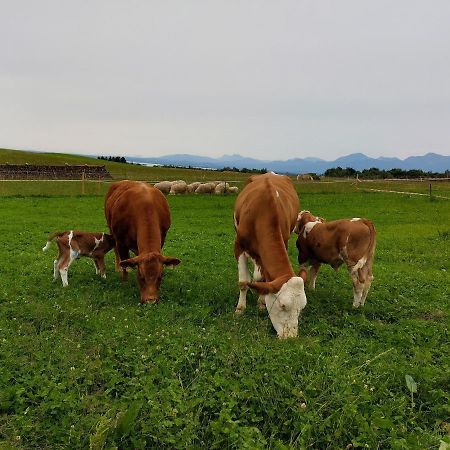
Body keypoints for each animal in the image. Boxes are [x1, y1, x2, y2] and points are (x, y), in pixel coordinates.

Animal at [234, 172, 308, 338]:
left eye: (301, 309)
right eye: (282, 305)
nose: (291, 337)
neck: (262, 213)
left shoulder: (284, 241)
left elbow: (261, 279)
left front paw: (261, 303)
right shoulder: (239, 246)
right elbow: (243, 282)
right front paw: (240, 309)